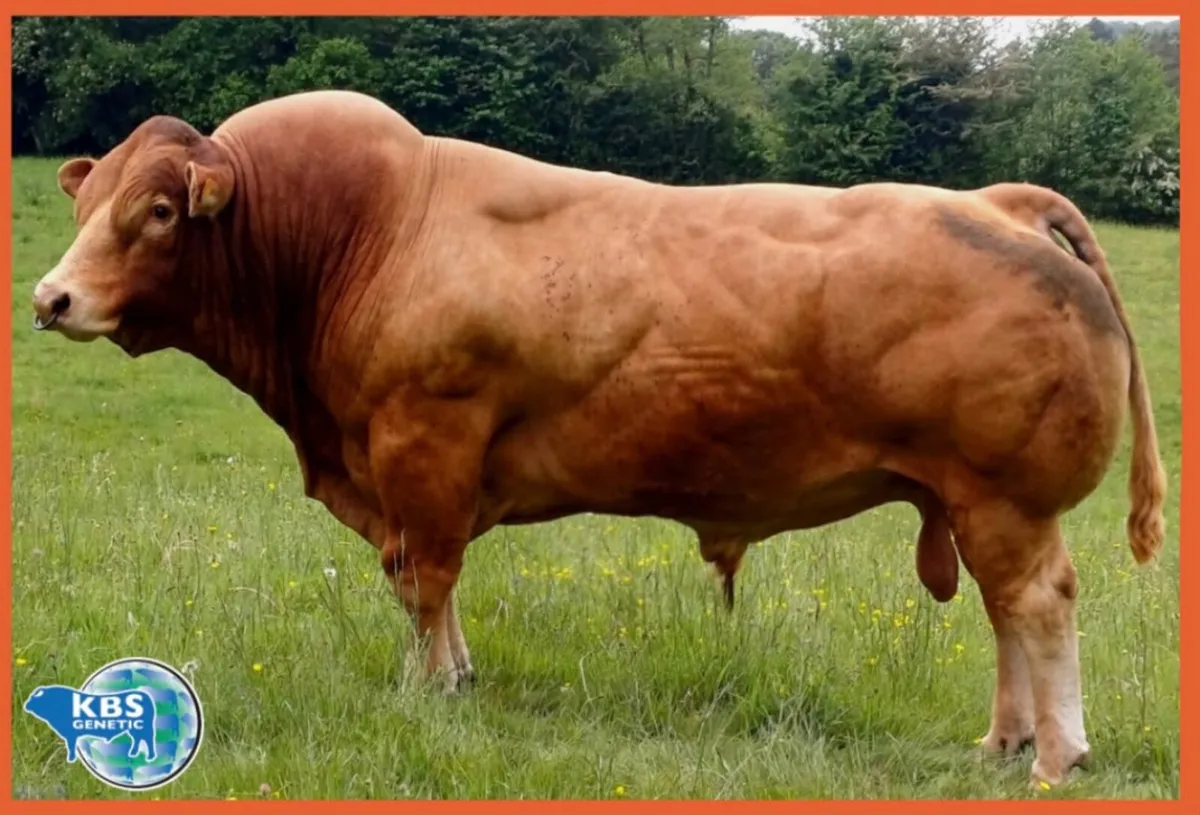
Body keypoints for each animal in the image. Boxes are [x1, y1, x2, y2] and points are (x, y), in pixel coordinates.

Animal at [24, 685, 157, 763]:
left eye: (35, 698)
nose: (26, 705)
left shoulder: (71, 734)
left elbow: (71, 747)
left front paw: (71, 759)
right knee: (138, 739)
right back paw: (133, 754)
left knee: (148, 739)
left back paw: (150, 756)